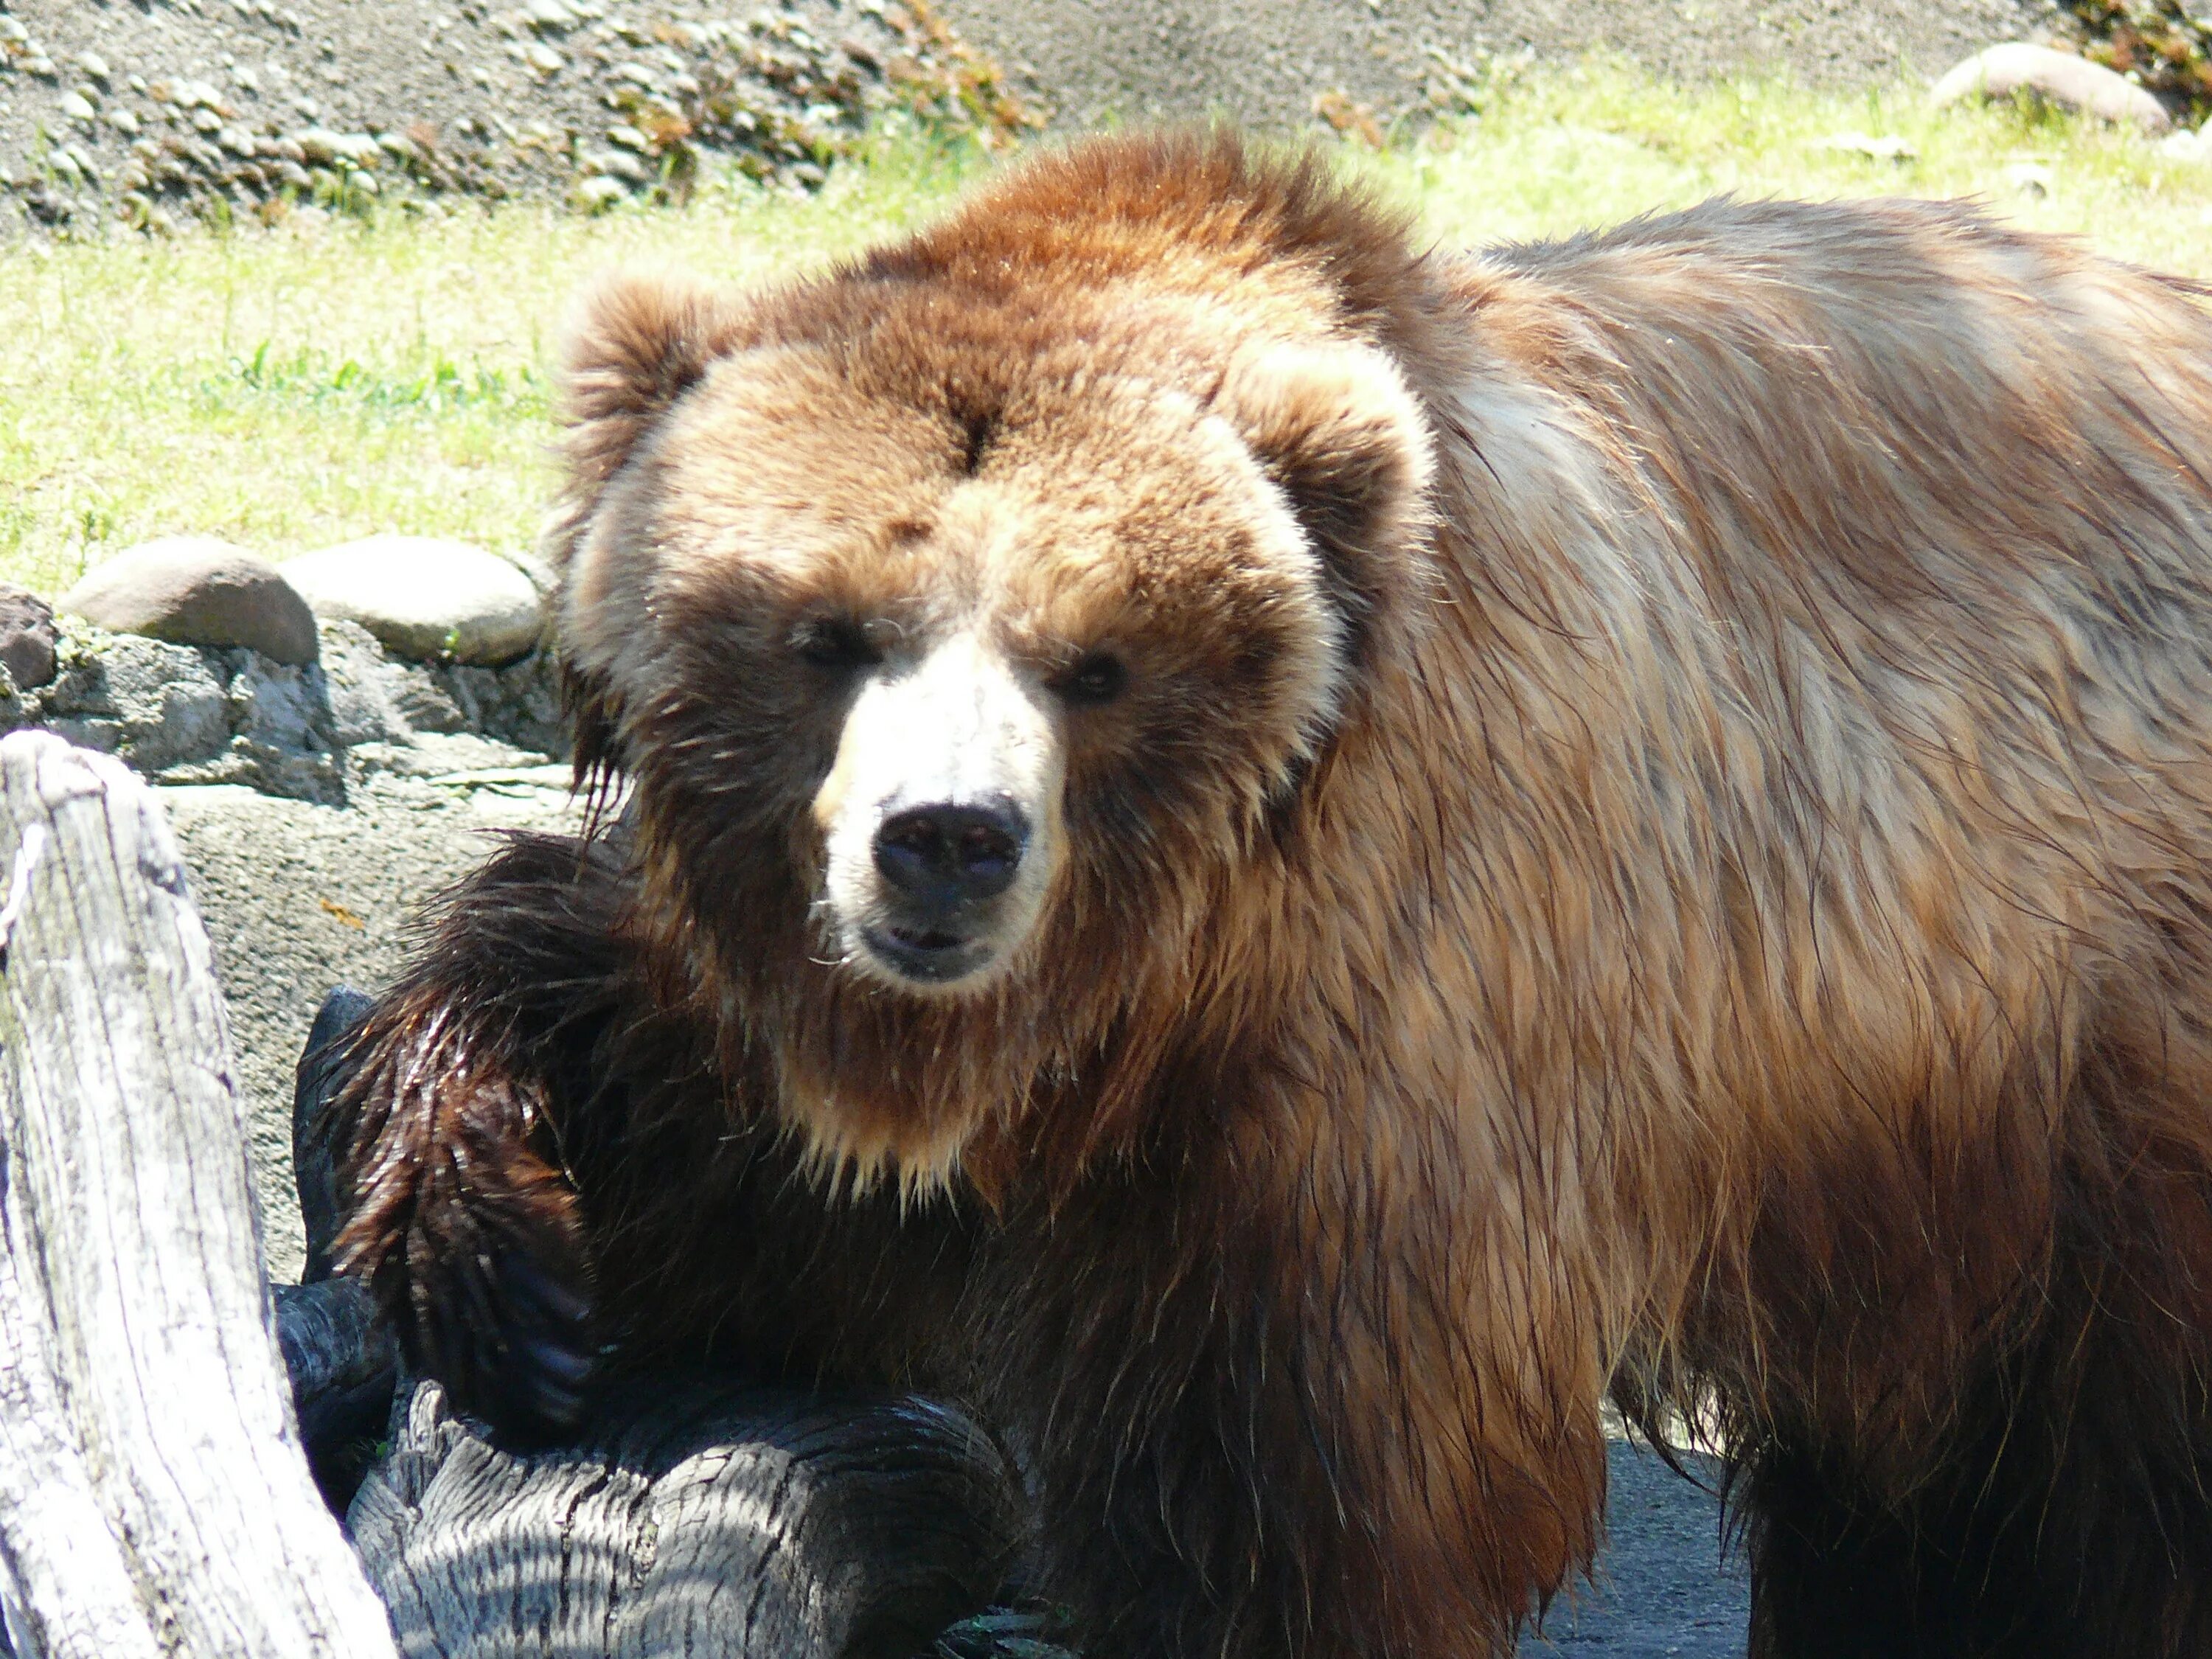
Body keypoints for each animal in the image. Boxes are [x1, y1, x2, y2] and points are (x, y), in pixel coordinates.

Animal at [336, 133, 2212, 1659]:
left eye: (1092, 661)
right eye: (828, 629)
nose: (945, 838)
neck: (1169, 958)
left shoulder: (1410, 1035)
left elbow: (1299, 1497)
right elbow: (735, 1129)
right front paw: (501, 1245)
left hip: (2086, 1031)